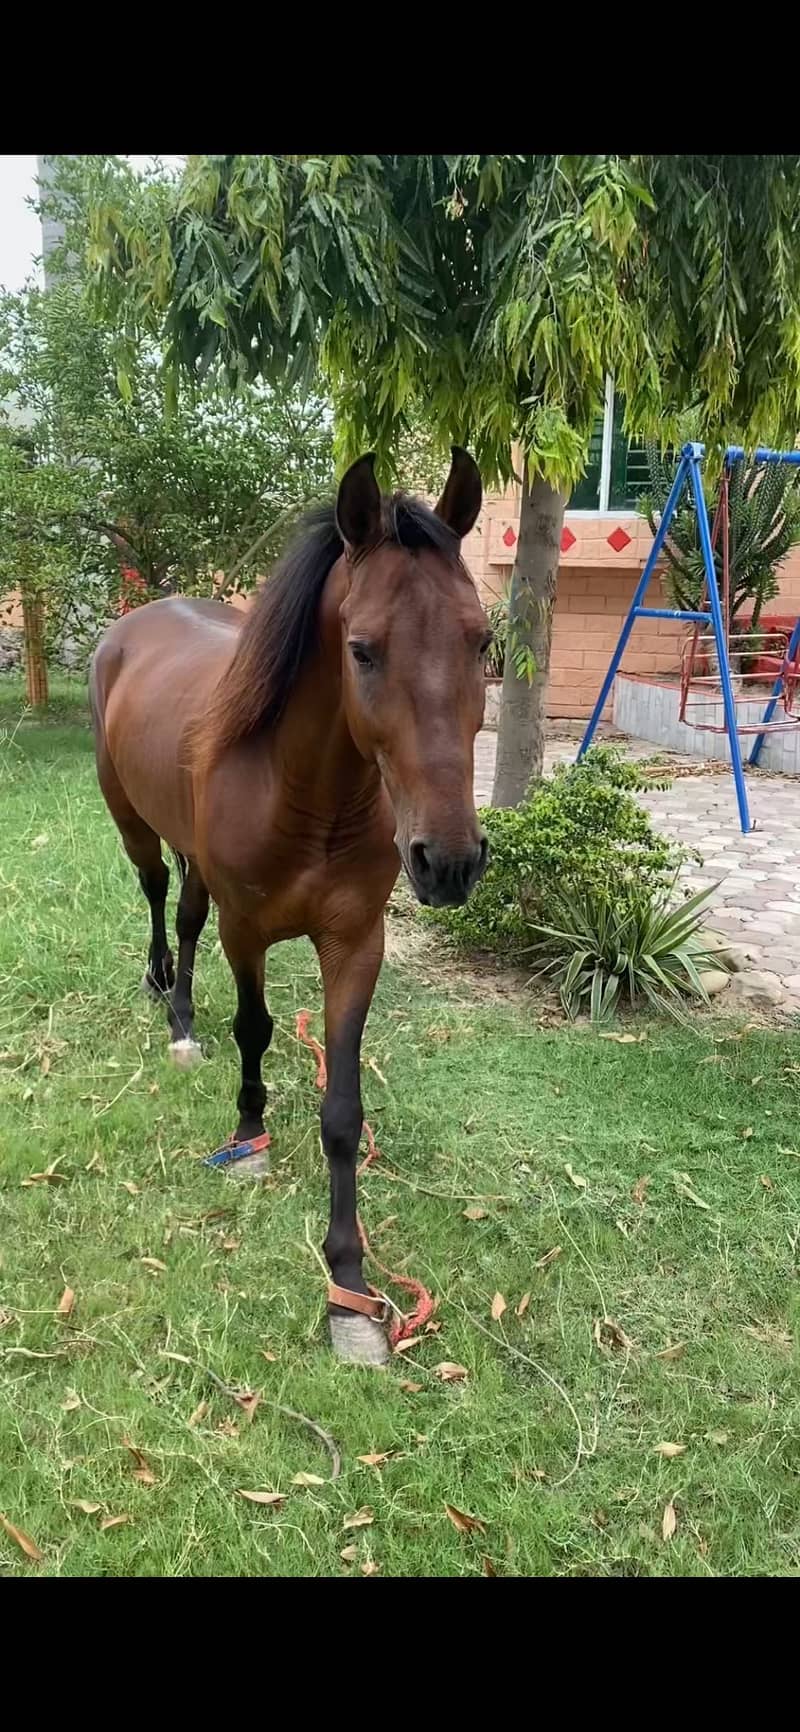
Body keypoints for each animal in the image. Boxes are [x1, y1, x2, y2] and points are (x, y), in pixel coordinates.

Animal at [89, 448, 490, 1365]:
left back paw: (180, 1013)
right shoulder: (250, 933)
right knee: (161, 900)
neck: (307, 794)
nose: (449, 862)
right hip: (134, 826)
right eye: (362, 650)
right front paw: (246, 1138)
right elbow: (255, 1030)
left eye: (483, 641)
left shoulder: (355, 943)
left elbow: (342, 1109)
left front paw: (350, 1284)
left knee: (186, 914)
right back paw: (171, 1009)